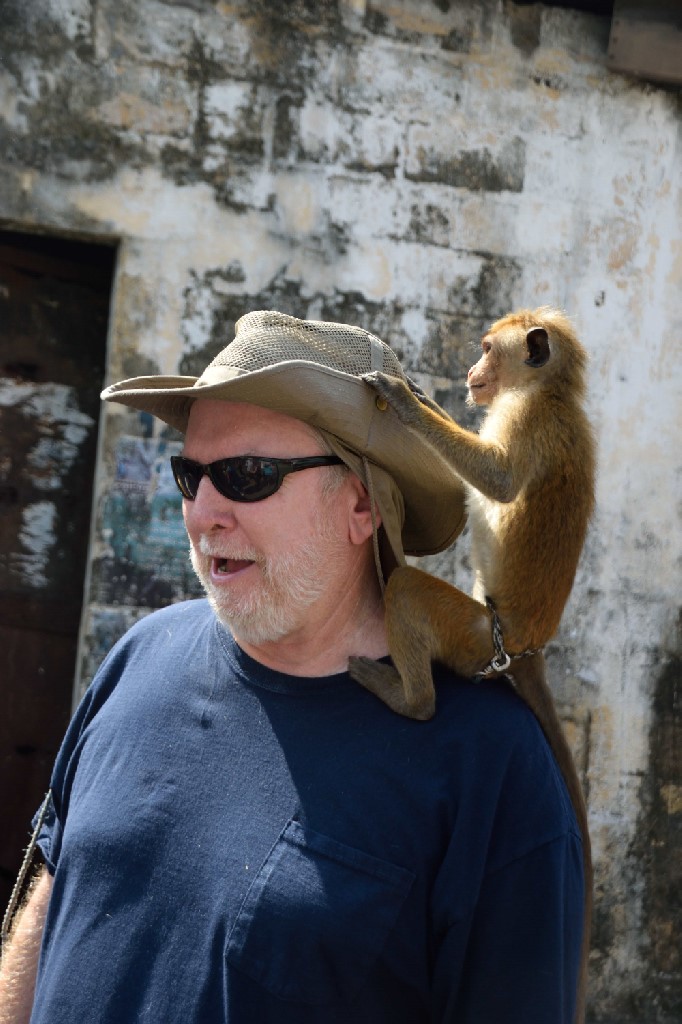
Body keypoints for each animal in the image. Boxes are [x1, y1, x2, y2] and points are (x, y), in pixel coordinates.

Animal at [348, 307, 595, 1024]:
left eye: (488, 348)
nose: (470, 370)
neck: (548, 393)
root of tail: (527, 649)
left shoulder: (525, 422)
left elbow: (498, 482)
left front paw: (407, 403)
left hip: (471, 637)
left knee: (407, 593)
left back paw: (409, 698)